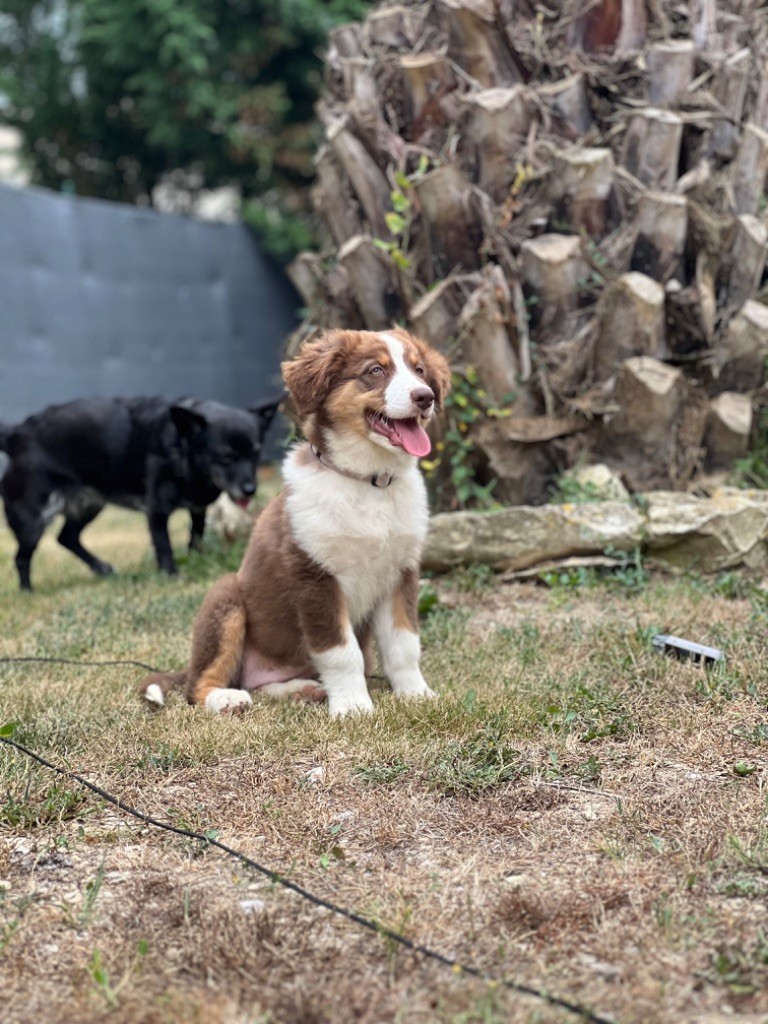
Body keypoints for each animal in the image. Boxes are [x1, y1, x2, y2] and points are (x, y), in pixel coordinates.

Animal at [0, 393, 282, 593]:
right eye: (225, 456)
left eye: (255, 452)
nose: (250, 489)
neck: (181, 448)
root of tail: (17, 433)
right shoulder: (156, 511)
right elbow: (164, 546)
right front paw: (171, 575)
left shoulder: (198, 508)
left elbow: (197, 535)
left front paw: (196, 558)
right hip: (33, 520)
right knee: (22, 557)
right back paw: (28, 591)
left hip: (90, 506)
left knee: (66, 538)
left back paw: (102, 568)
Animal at [143, 329, 450, 720]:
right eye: (376, 371)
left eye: (419, 370)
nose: (425, 397)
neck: (368, 482)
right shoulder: (315, 575)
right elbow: (341, 651)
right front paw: (353, 707)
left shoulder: (401, 572)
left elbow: (404, 644)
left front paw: (416, 695)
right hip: (226, 598)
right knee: (199, 686)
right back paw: (226, 698)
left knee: (261, 684)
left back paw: (303, 689)